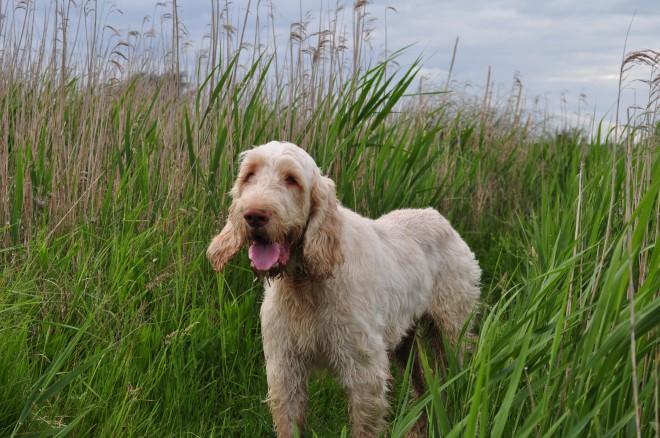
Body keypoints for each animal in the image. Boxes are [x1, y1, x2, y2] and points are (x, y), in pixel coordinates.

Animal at [206, 142, 480, 436]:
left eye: (291, 179)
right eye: (249, 175)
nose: (254, 215)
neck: (305, 284)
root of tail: (440, 218)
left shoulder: (365, 373)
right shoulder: (285, 370)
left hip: (452, 333)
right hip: (405, 342)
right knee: (423, 388)